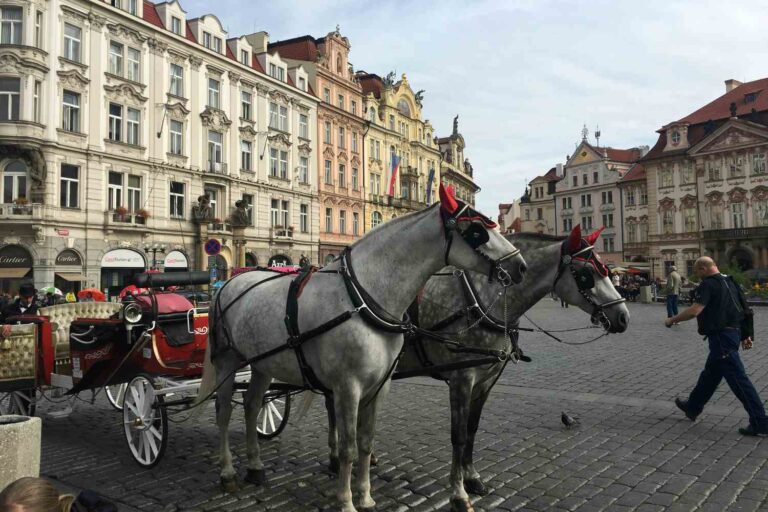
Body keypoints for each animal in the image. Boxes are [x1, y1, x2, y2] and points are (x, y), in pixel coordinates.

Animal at [194, 185, 527, 512]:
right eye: (476, 231)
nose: (520, 266)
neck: (363, 297)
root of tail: (227, 284)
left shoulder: (380, 386)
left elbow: (366, 442)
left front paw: (365, 497)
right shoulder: (348, 387)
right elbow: (348, 448)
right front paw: (346, 501)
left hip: (263, 364)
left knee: (252, 406)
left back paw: (255, 467)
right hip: (227, 362)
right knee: (224, 412)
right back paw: (228, 472)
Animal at [326, 224, 630, 512]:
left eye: (606, 269)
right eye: (586, 273)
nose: (623, 317)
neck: (484, 300)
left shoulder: (486, 380)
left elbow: (472, 430)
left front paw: (472, 478)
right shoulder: (462, 379)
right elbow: (458, 435)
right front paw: (458, 493)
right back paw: (336, 458)